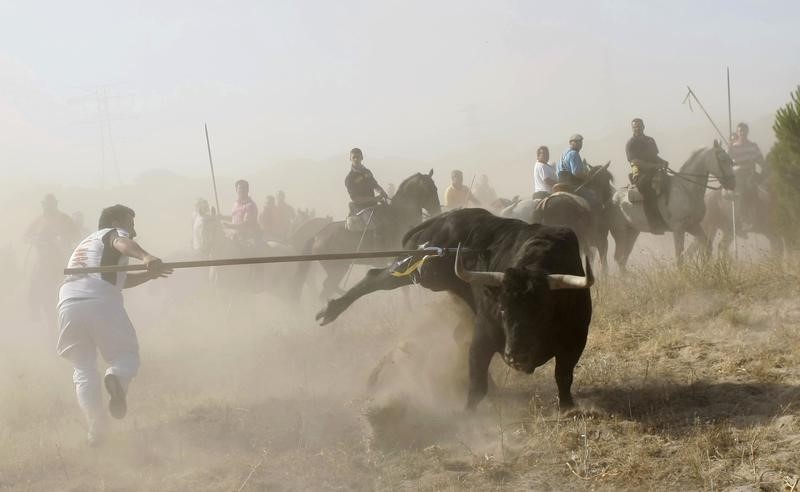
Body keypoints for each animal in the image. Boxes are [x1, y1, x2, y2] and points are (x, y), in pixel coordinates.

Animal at [296, 169, 444, 300]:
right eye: (429, 190)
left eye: (436, 188)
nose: (437, 211)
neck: (399, 215)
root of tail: (316, 236)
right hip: (337, 271)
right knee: (326, 290)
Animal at [316, 209, 592, 412]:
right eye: (502, 310)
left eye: (542, 312)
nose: (515, 356)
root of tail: (444, 218)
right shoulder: (484, 335)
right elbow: (476, 382)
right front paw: (468, 416)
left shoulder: (576, 340)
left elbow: (563, 375)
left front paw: (568, 406)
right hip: (425, 270)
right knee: (376, 277)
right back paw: (330, 311)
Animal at [608, 141, 736, 272]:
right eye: (723, 159)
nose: (732, 183)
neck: (686, 189)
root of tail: (611, 198)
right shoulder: (678, 228)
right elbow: (679, 257)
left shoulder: (693, 226)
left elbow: (706, 246)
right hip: (621, 233)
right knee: (620, 258)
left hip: (633, 232)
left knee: (623, 259)